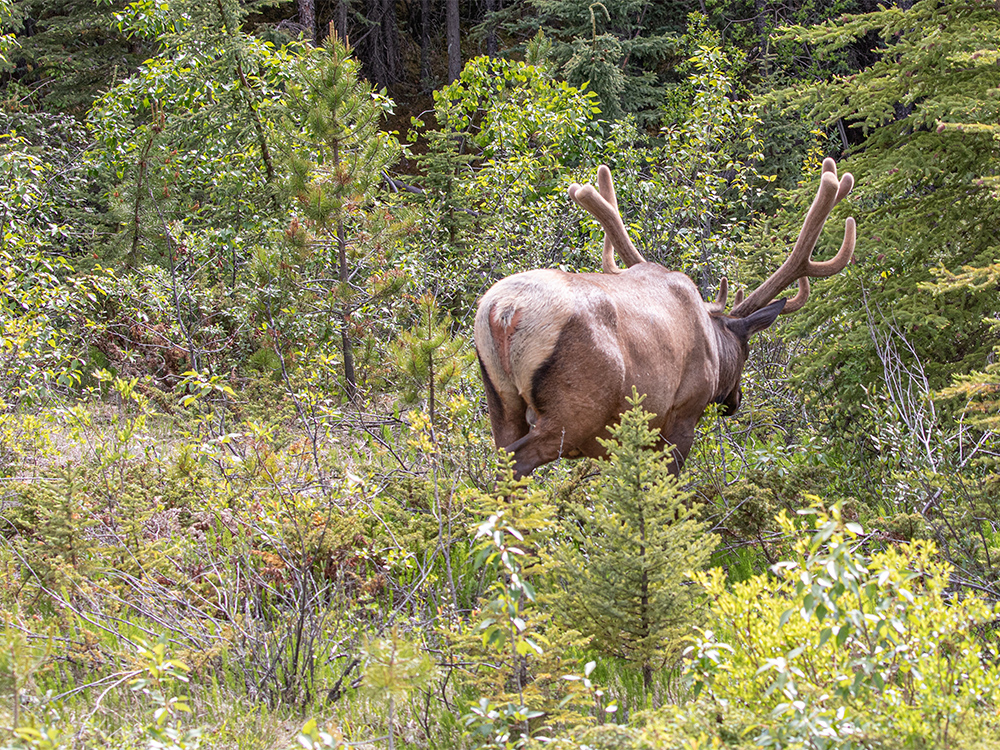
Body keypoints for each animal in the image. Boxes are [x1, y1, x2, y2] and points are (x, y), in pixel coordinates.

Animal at [473, 158, 856, 477]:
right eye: (745, 351)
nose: (735, 400)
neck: (713, 342)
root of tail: (504, 311)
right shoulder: (682, 413)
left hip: (500, 402)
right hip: (575, 408)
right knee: (516, 464)